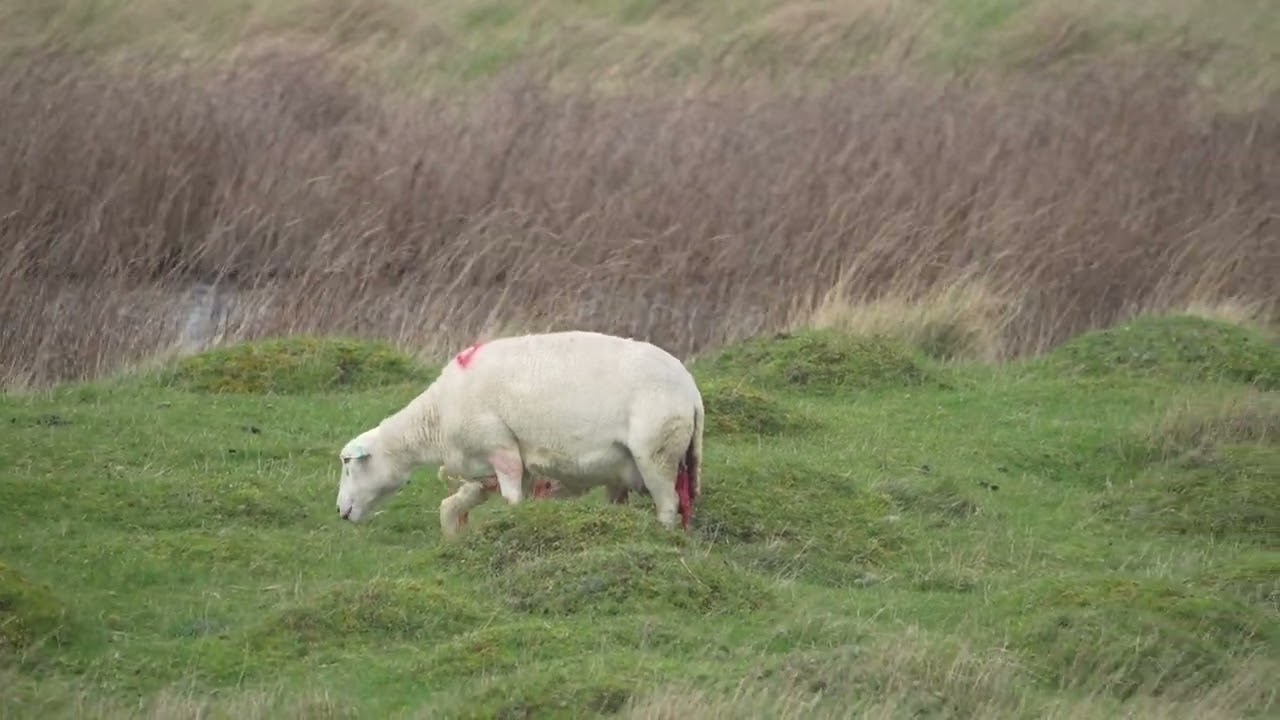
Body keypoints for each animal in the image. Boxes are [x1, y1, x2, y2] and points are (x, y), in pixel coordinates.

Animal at [335, 330, 704, 536]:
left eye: (348, 464)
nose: (340, 512)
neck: (436, 418)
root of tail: (691, 393)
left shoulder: (501, 449)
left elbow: (512, 500)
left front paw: (513, 525)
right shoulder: (488, 467)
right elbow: (454, 504)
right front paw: (455, 538)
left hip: (656, 453)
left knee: (668, 505)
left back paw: (662, 537)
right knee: (681, 504)